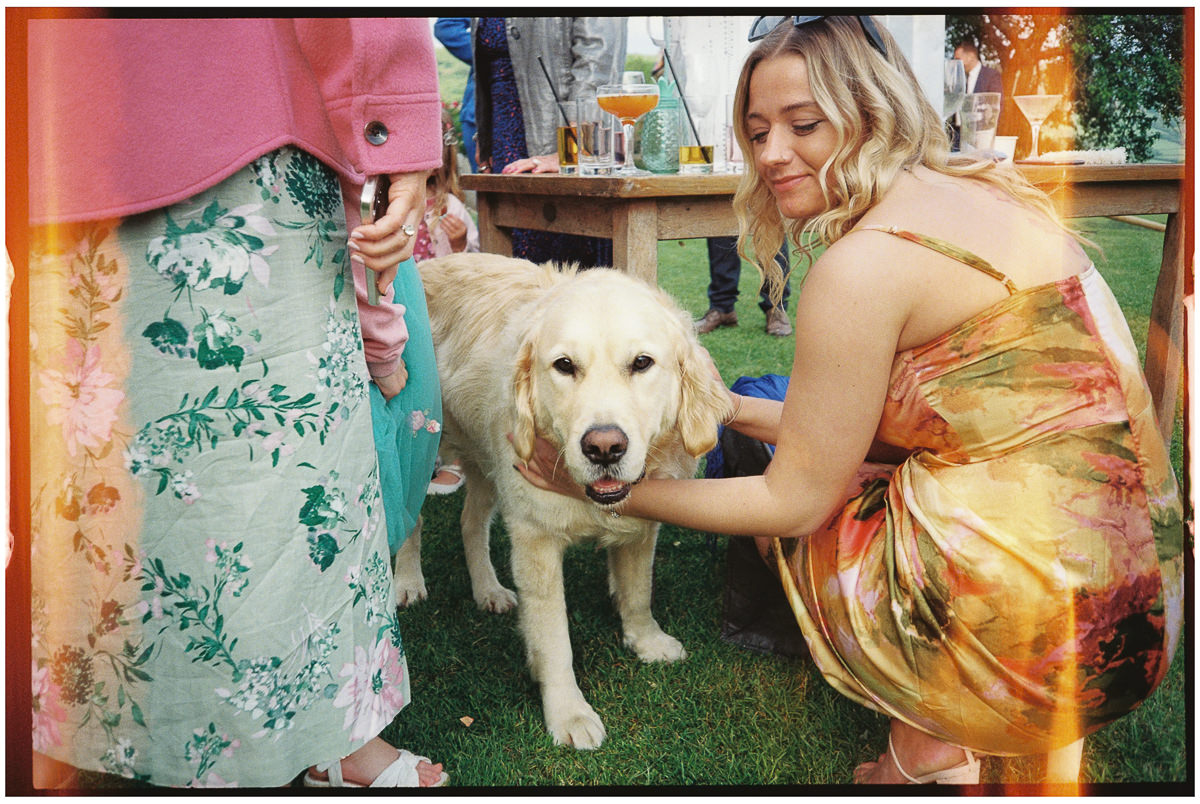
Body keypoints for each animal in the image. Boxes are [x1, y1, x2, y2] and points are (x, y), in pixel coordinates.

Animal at [396, 253, 729, 748]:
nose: (604, 448)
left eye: (642, 363)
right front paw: (568, 713)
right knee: (412, 522)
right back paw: (407, 581)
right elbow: (555, 639)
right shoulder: (536, 543)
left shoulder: (641, 527)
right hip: (423, 450)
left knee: (470, 523)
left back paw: (488, 589)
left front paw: (646, 640)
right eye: (565, 365)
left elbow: (638, 591)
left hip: (486, 463)